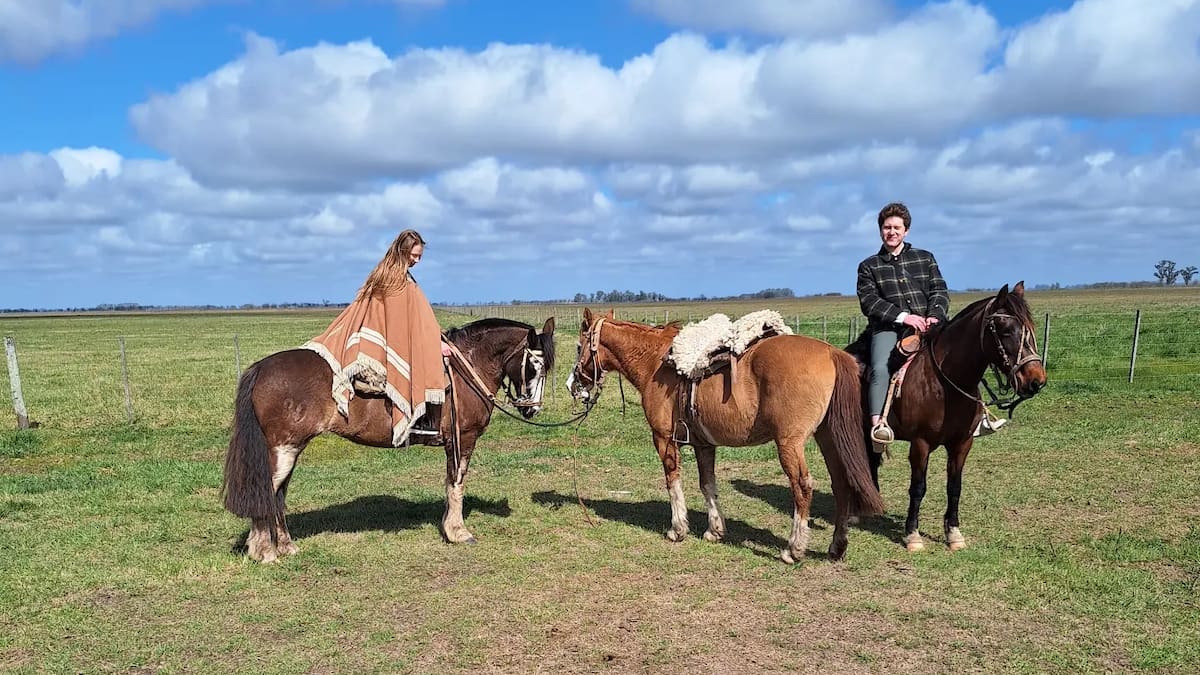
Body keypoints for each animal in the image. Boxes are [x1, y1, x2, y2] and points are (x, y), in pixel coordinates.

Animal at [222, 317, 556, 563]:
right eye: (533, 366)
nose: (533, 408)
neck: (466, 370)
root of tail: (262, 367)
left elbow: (449, 485)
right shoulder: (463, 439)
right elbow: (456, 484)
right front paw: (457, 532)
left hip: (289, 450)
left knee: (277, 495)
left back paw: (284, 546)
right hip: (283, 449)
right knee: (267, 492)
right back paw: (264, 552)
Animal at [566, 308, 884, 563]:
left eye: (580, 345)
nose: (572, 384)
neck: (655, 361)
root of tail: (831, 351)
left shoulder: (664, 439)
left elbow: (673, 482)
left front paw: (678, 529)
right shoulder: (704, 444)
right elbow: (708, 484)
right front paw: (714, 530)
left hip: (790, 443)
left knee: (802, 487)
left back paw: (793, 549)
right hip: (828, 437)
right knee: (841, 484)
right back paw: (837, 547)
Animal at [846, 282, 1047, 552]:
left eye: (1031, 329)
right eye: (1005, 331)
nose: (1036, 380)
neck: (945, 383)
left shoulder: (962, 444)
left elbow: (954, 487)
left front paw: (953, 533)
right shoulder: (920, 444)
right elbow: (918, 488)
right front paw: (912, 535)